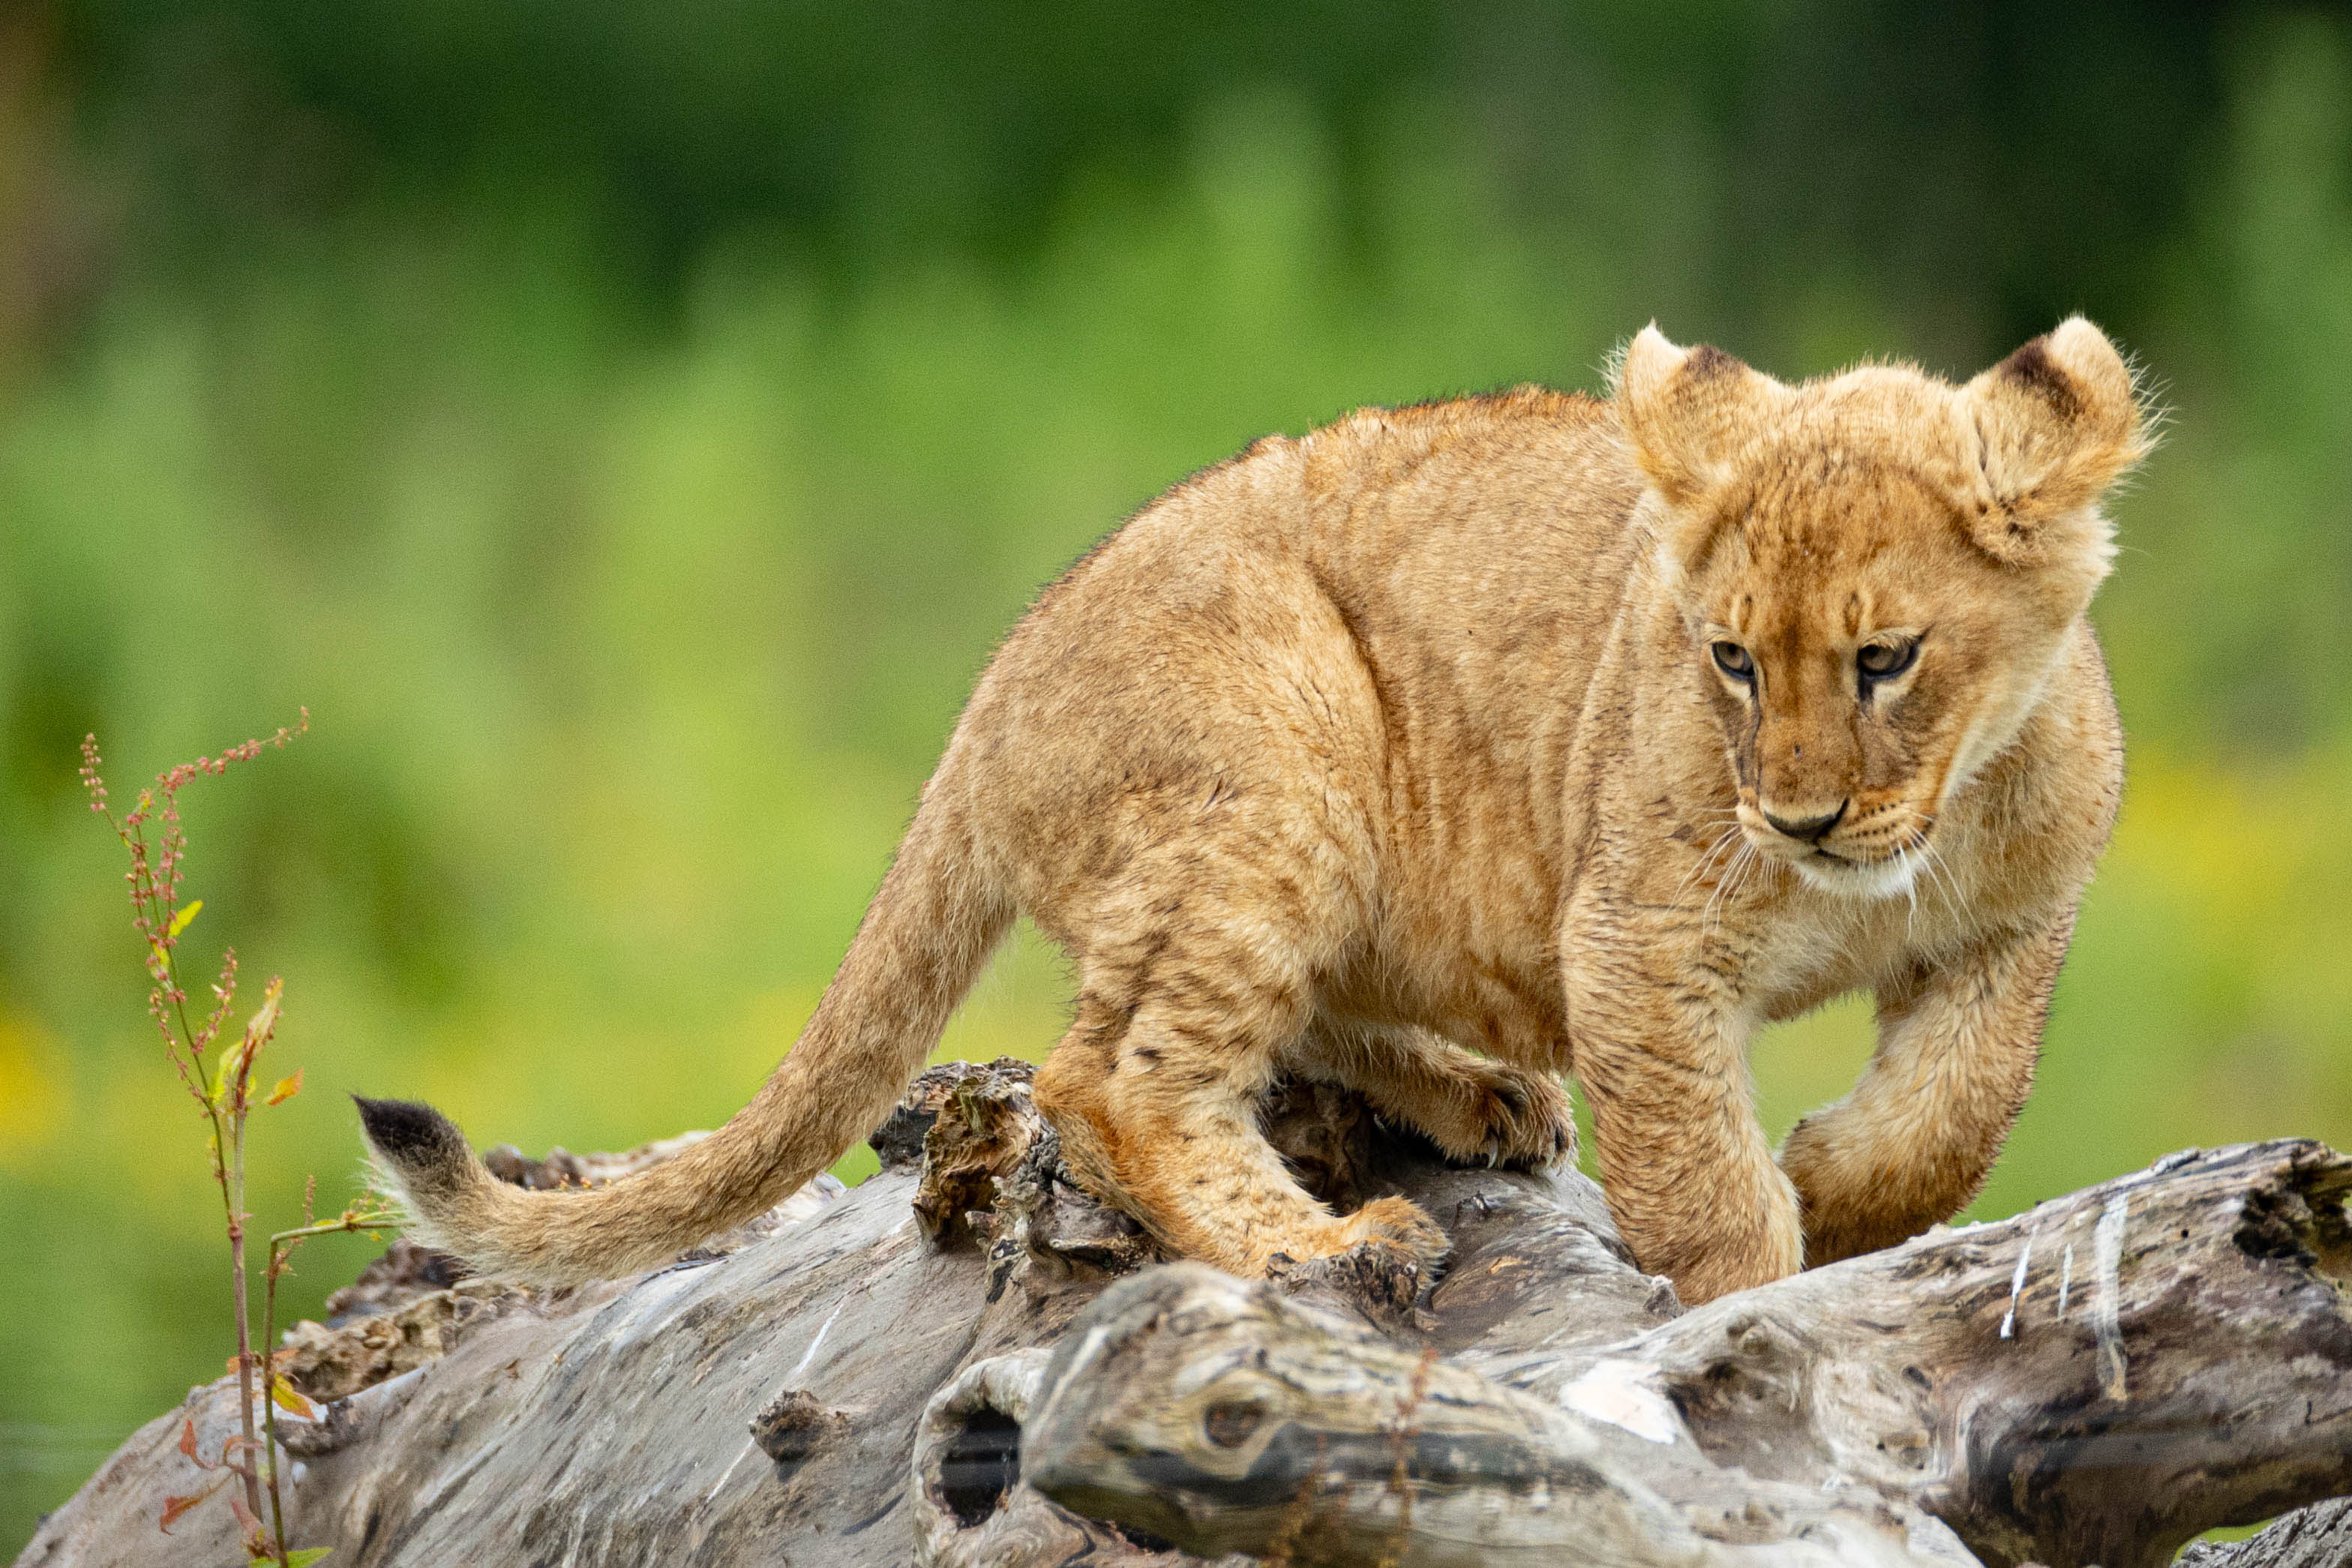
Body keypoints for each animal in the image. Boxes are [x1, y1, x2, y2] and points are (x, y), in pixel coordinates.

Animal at [359, 318, 2146, 1305]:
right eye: (1727, 658)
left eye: (1883, 658)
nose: (1797, 822)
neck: (1915, 830)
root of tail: (992, 683)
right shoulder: (1637, 939)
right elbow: (1695, 1170)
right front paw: (1744, 1298)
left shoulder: (2017, 925)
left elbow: (1957, 1110)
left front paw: (1838, 1181)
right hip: (1278, 765)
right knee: (1112, 1077)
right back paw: (1328, 1249)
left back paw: (1476, 1097)